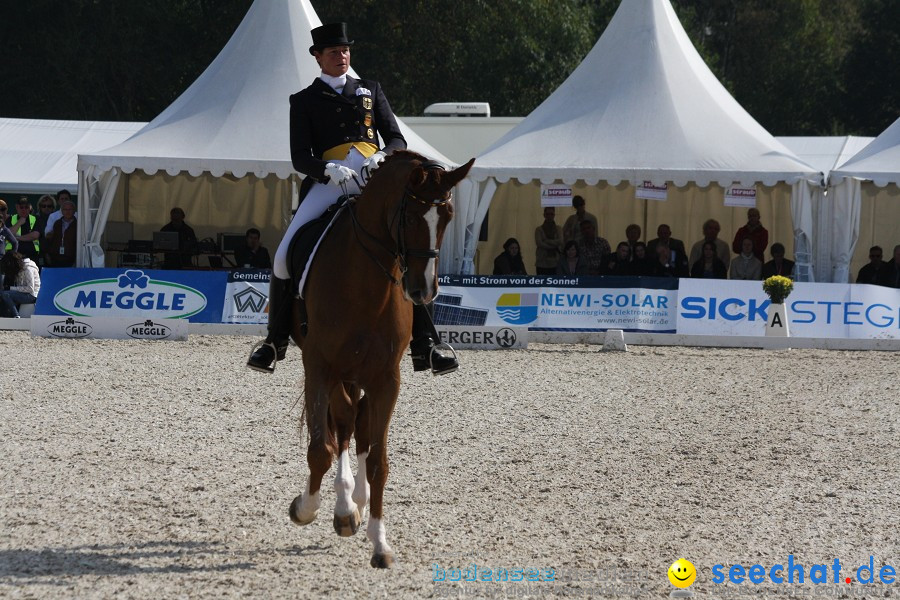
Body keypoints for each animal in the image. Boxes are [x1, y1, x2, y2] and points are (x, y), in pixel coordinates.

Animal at [288, 150, 474, 568]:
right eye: (410, 217)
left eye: (448, 216)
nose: (422, 291)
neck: (364, 287)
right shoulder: (319, 367)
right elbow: (320, 450)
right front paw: (307, 508)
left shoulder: (386, 380)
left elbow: (378, 462)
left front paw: (380, 542)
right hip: (338, 373)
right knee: (343, 425)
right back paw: (344, 508)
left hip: (360, 375)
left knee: (356, 426)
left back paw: (354, 503)